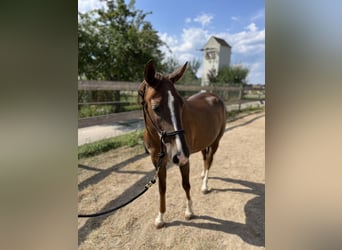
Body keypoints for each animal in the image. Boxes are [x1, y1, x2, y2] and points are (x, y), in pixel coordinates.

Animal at [138, 60, 226, 229]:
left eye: (181, 103)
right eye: (156, 107)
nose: (181, 153)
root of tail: (214, 97)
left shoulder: (184, 162)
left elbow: (186, 184)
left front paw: (189, 211)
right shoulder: (158, 162)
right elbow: (162, 189)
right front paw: (160, 218)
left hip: (215, 142)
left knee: (209, 160)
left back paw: (205, 186)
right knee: (205, 158)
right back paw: (202, 175)